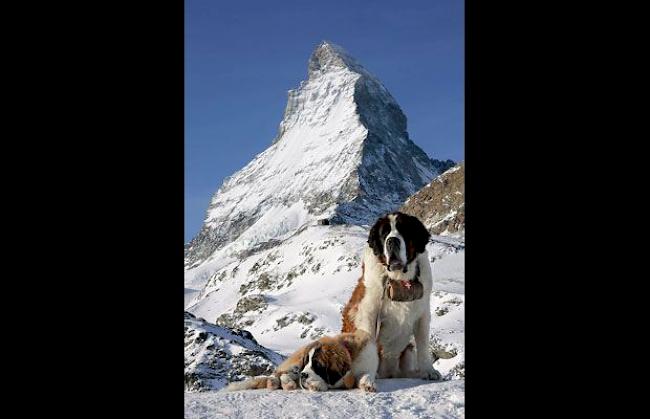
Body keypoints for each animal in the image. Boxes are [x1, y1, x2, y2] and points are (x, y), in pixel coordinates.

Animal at [227, 332, 380, 394]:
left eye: (318, 365)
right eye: (307, 362)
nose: (303, 375)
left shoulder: (368, 363)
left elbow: (367, 374)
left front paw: (368, 384)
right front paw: (316, 385)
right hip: (294, 364)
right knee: (279, 374)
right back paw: (279, 383)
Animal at [340, 212, 440, 382]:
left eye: (404, 230)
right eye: (384, 234)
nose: (392, 240)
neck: (399, 279)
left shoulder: (422, 313)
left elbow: (423, 344)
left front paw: (428, 371)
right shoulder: (368, 313)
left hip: (407, 350)